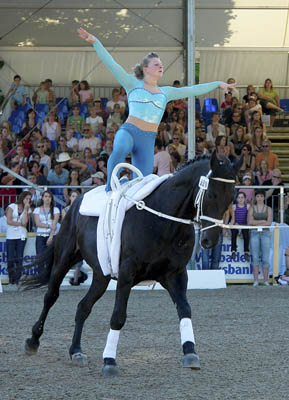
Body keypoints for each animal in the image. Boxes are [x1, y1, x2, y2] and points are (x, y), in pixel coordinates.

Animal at [23, 152, 238, 376]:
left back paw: (76, 351)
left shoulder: (176, 274)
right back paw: (33, 341)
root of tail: (76, 201)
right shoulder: (126, 275)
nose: (210, 240)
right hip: (65, 258)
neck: (163, 221)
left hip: (101, 275)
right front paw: (109, 361)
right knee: (51, 296)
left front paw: (190, 352)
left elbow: (185, 309)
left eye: (230, 198)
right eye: (211, 195)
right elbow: (118, 316)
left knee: (83, 306)